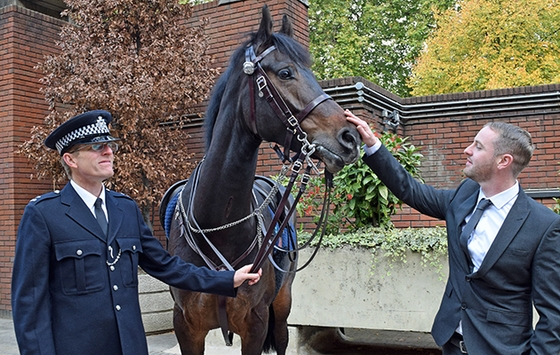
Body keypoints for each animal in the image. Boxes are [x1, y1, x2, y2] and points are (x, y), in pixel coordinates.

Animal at [161, 5, 364, 355]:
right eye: (285, 73)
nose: (350, 137)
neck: (218, 224)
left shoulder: (255, 324)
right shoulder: (186, 327)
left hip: (281, 307)